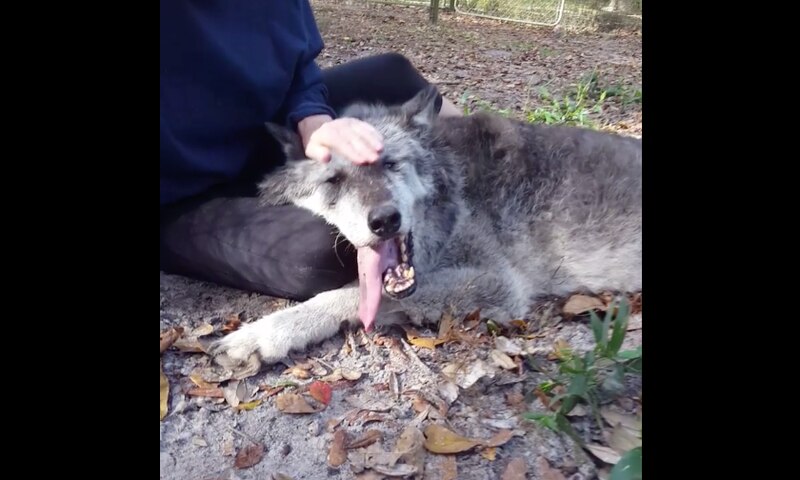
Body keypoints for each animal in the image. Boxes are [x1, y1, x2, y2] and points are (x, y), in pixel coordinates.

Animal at [208, 84, 644, 370]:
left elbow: (347, 295)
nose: (385, 220)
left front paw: (264, 334)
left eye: (391, 164)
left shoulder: (497, 283)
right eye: (334, 180)